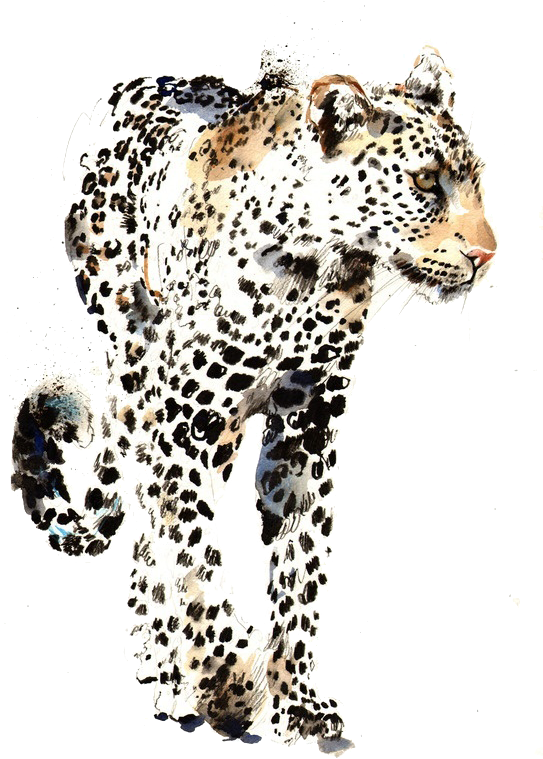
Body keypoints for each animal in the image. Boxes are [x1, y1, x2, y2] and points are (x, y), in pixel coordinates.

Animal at [11, 44, 498, 755]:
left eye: (478, 180)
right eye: (426, 183)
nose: (488, 253)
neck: (318, 269)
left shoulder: (305, 436)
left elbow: (298, 576)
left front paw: (296, 705)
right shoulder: (190, 431)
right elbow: (197, 571)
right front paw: (227, 689)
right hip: (133, 340)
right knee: (155, 530)